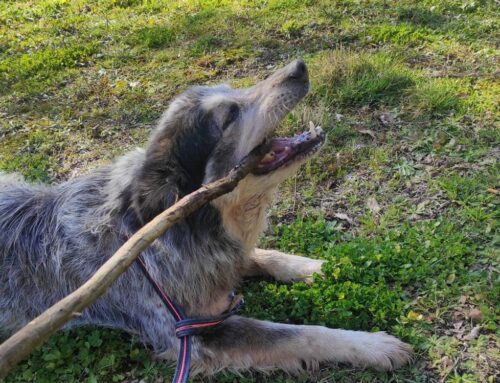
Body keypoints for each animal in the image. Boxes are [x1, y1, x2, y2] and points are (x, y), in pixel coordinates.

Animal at [0, 60, 410, 376]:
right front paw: (372, 345)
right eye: (229, 115)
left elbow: (261, 255)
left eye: (236, 89)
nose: (298, 66)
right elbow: (300, 333)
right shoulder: (193, 334)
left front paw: (314, 267)